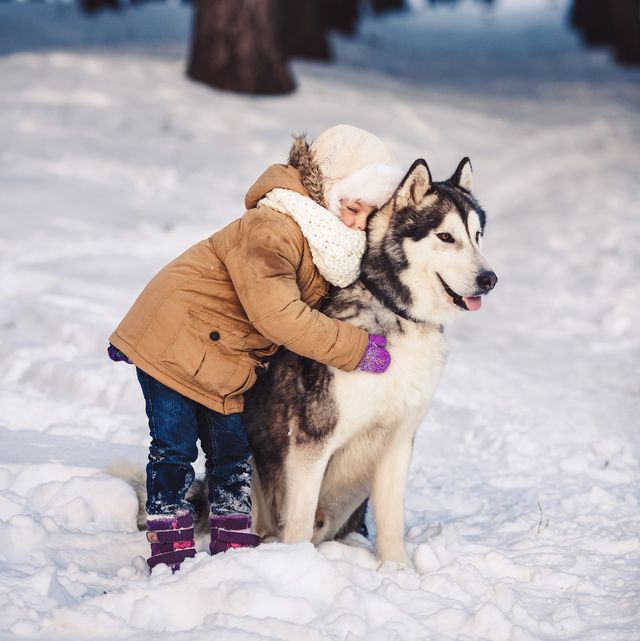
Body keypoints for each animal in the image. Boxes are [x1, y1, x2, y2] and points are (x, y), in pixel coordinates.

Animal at [242, 158, 498, 564]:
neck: (396, 313)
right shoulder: (310, 443)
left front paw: (398, 571)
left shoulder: (399, 442)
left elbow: (391, 522)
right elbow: (298, 524)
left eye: (477, 236)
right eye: (445, 237)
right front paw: (298, 564)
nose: (490, 279)